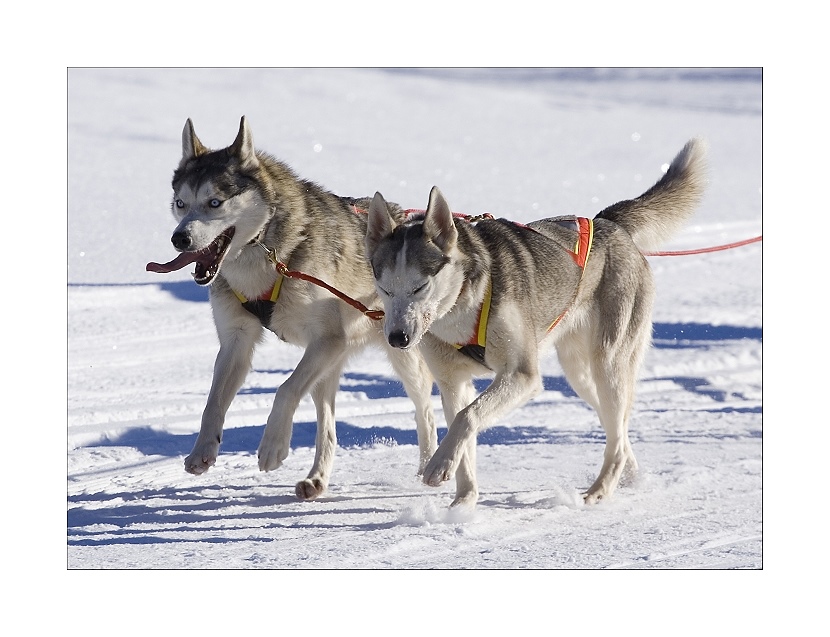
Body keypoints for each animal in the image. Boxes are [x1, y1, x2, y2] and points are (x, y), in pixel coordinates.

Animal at [366, 139, 708, 506]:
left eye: (420, 286)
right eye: (384, 288)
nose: (397, 338)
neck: (462, 309)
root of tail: (607, 223)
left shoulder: (521, 375)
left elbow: (467, 416)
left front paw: (438, 466)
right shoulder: (453, 383)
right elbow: (463, 435)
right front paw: (463, 503)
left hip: (608, 363)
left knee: (616, 433)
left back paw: (600, 489)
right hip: (580, 374)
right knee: (617, 429)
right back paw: (629, 476)